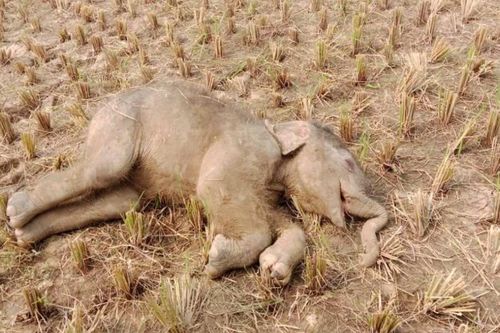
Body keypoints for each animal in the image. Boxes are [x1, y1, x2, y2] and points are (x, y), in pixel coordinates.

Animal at [6, 80, 386, 282]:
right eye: (348, 162)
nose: (362, 263)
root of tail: (99, 109)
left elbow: (278, 222)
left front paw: (273, 269)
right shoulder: (243, 153)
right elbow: (215, 192)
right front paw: (215, 259)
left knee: (123, 200)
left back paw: (24, 234)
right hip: (118, 125)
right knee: (101, 170)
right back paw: (15, 211)